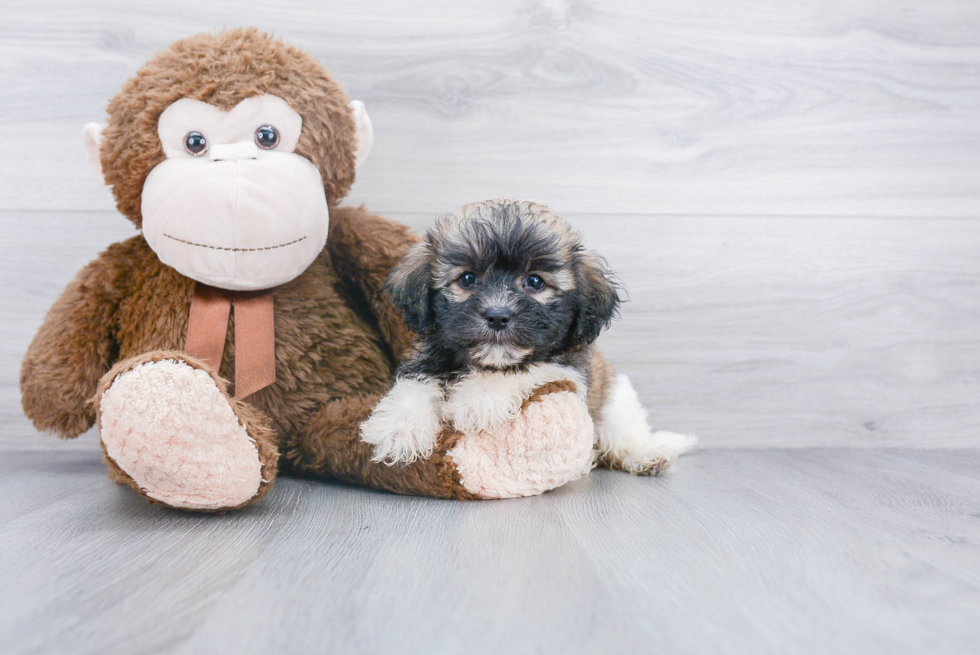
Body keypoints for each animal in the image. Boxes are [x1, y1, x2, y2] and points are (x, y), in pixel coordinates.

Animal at [362, 200, 696, 476]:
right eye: (468, 278)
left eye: (535, 281)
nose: (497, 315)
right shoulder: (428, 356)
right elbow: (415, 384)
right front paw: (400, 428)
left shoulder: (566, 370)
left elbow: (522, 370)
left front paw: (478, 398)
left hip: (617, 401)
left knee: (623, 436)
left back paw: (646, 454)